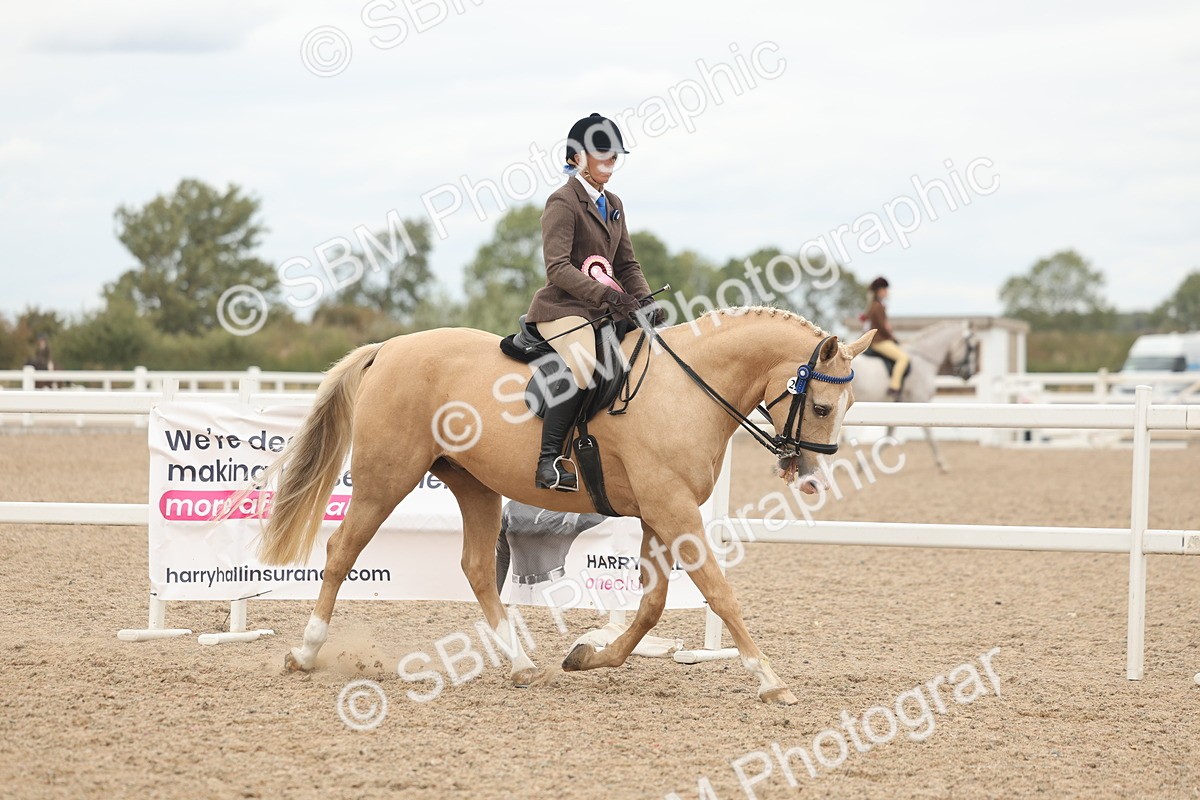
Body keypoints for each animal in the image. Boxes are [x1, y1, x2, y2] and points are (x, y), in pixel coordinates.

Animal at [253, 307, 875, 705]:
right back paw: (305, 652)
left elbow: (651, 605)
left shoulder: (659, 512)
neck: (686, 392)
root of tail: (388, 349)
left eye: (847, 405)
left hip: (474, 484)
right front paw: (770, 680)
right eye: (822, 407)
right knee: (341, 550)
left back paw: (522, 666)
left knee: (476, 568)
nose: (811, 480)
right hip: (386, 478)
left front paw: (587, 657)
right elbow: (720, 593)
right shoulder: (674, 510)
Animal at [850, 320, 977, 472]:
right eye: (971, 348)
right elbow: (929, 432)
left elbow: (889, 436)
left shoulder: (897, 404)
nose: (968, 374)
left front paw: (861, 464)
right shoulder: (920, 400)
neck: (923, 359)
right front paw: (942, 463)